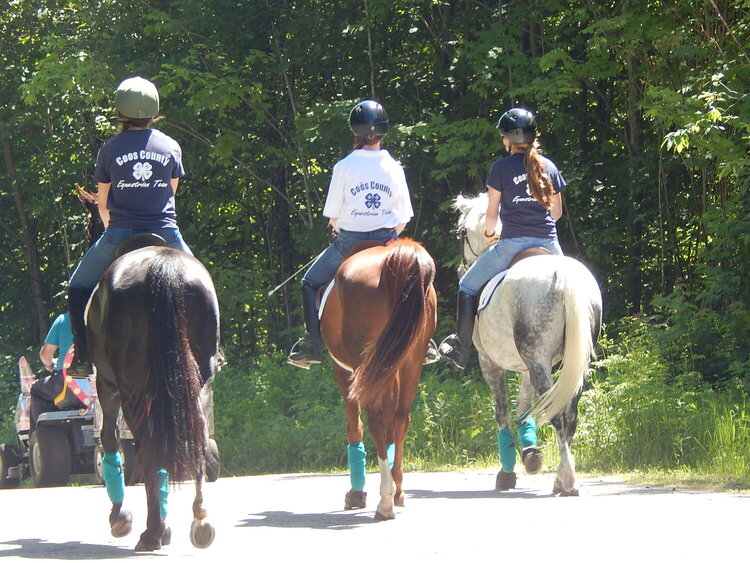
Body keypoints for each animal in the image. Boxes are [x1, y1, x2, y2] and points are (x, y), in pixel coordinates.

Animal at [320, 238, 438, 520]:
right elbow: (391, 423)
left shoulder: (345, 371)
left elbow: (355, 427)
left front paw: (356, 494)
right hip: (410, 361)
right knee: (401, 418)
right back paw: (397, 491)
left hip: (364, 362)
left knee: (373, 421)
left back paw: (384, 500)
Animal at [452, 195, 604, 498]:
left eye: (461, 233)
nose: (462, 269)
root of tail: (563, 276)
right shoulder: (525, 367)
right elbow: (524, 407)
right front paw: (530, 453)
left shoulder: (490, 364)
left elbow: (502, 412)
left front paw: (507, 472)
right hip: (572, 364)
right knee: (569, 413)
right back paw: (560, 477)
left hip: (537, 361)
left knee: (557, 415)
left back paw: (567, 480)